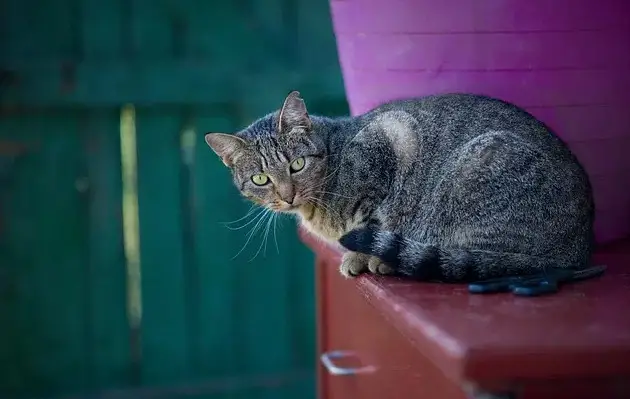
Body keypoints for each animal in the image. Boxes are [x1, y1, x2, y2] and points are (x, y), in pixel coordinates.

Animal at [207, 92, 596, 282]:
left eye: (297, 164)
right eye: (261, 179)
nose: (287, 196)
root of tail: (577, 250)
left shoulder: (391, 138)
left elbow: (374, 219)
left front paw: (360, 257)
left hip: (478, 169)